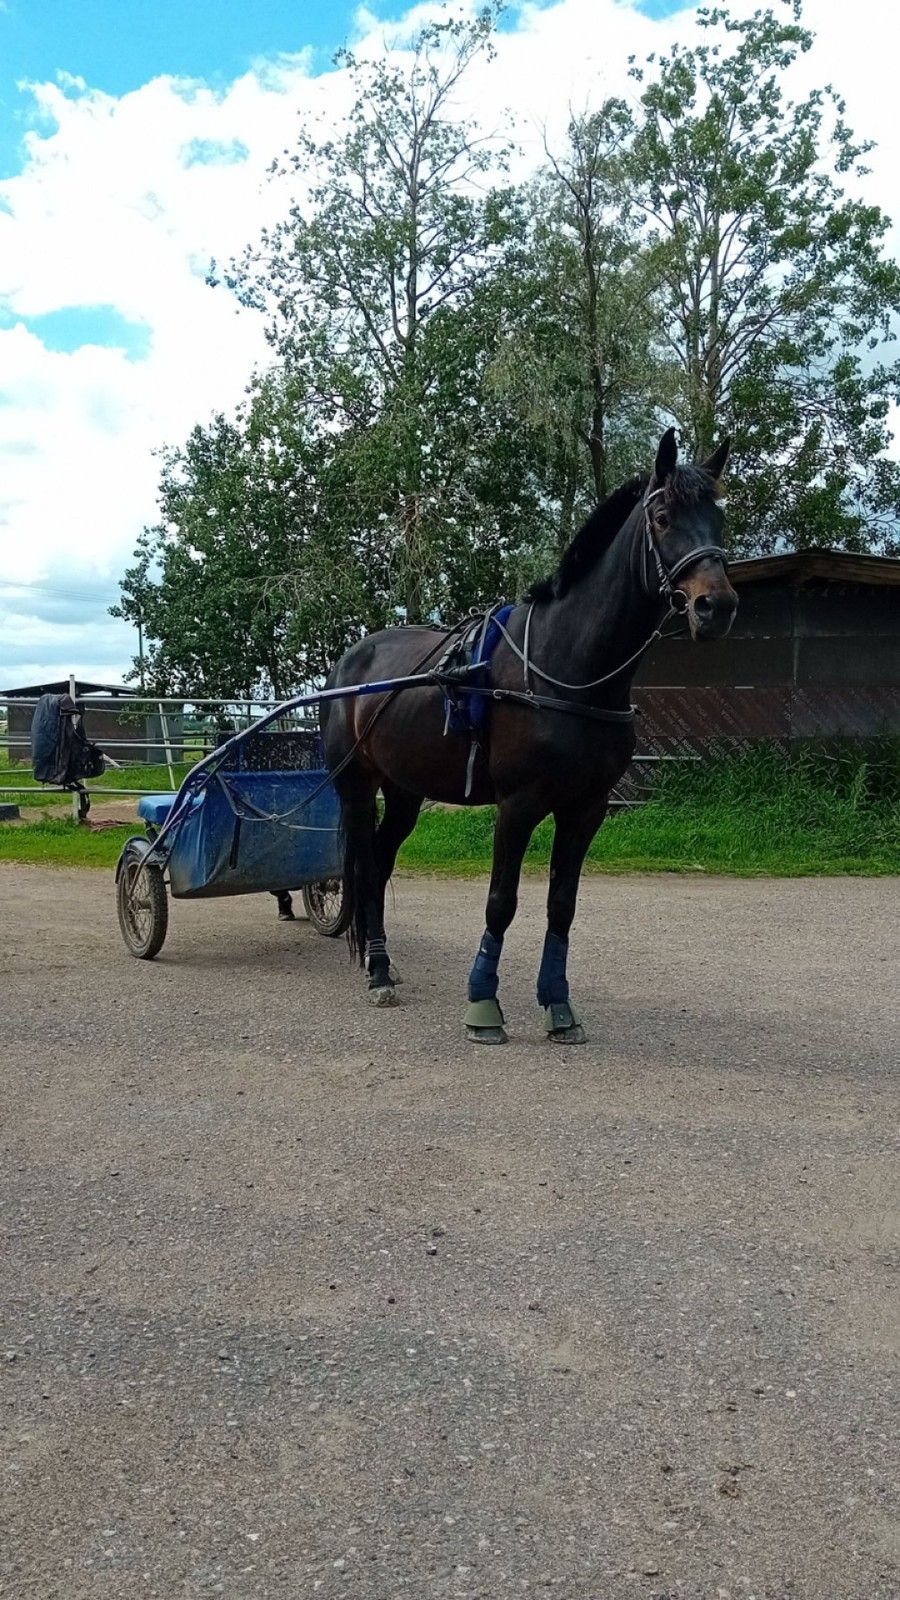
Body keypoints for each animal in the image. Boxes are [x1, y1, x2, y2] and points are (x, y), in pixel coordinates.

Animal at [321, 432, 736, 1043]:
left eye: (719, 517)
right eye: (662, 517)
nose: (717, 605)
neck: (567, 667)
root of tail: (351, 662)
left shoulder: (586, 808)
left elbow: (561, 905)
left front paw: (558, 1005)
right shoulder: (517, 805)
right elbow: (501, 902)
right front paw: (483, 1006)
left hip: (404, 792)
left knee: (381, 859)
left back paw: (384, 962)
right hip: (355, 785)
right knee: (368, 866)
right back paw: (376, 972)